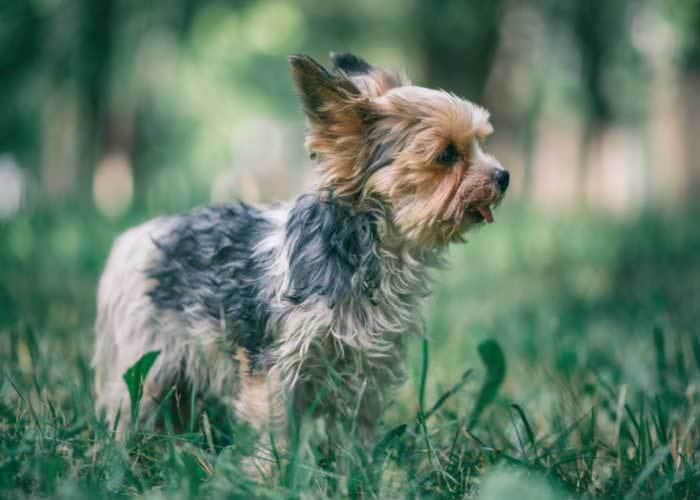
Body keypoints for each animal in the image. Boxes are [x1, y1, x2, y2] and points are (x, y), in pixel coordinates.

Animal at [93, 51, 508, 460]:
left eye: (479, 143)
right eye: (447, 154)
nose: (504, 176)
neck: (370, 250)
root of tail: (133, 239)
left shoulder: (370, 366)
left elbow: (359, 425)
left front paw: (358, 469)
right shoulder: (276, 365)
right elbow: (276, 427)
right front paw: (272, 471)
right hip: (145, 359)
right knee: (128, 405)